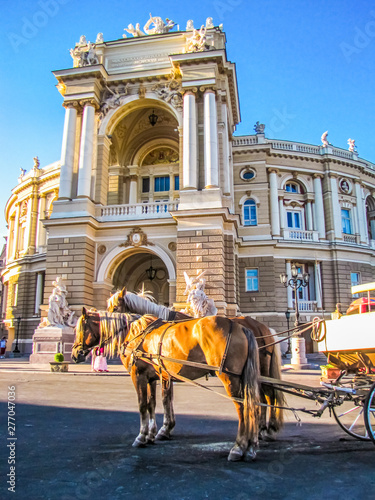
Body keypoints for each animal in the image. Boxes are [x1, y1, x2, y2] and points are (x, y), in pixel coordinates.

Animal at [73, 310, 262, 462]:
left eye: (80, 329)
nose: (75, 354)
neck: (136, 333)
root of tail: (239, 326)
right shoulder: (153, 377)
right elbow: (153, 404)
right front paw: (151, 435)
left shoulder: (138, 375)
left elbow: (142, 406)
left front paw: (141, 437)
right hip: (241, 378)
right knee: (253, 406)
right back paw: (251, 448)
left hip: (229, 377)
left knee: (242, 407)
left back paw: (238, 447)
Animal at [108, 288, 284, 440]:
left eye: (114, 307)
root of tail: (262, 327)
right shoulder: (165, 372)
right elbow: (166, 398)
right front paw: (165, 429)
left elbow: (163, 399)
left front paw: (161, 430)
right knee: (264, 394)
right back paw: (263, 429)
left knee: (266, 394)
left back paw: (265, 429)